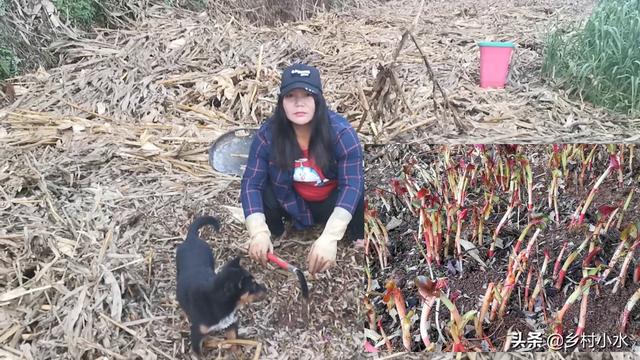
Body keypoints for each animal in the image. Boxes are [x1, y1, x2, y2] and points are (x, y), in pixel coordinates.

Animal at [176, 217, 266, 354]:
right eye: (253, 286)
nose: (266, 289)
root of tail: (191, 237)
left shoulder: (230, 324)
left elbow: (234, 341)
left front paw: (237, 354)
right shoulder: (196, 334)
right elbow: (199, 354)